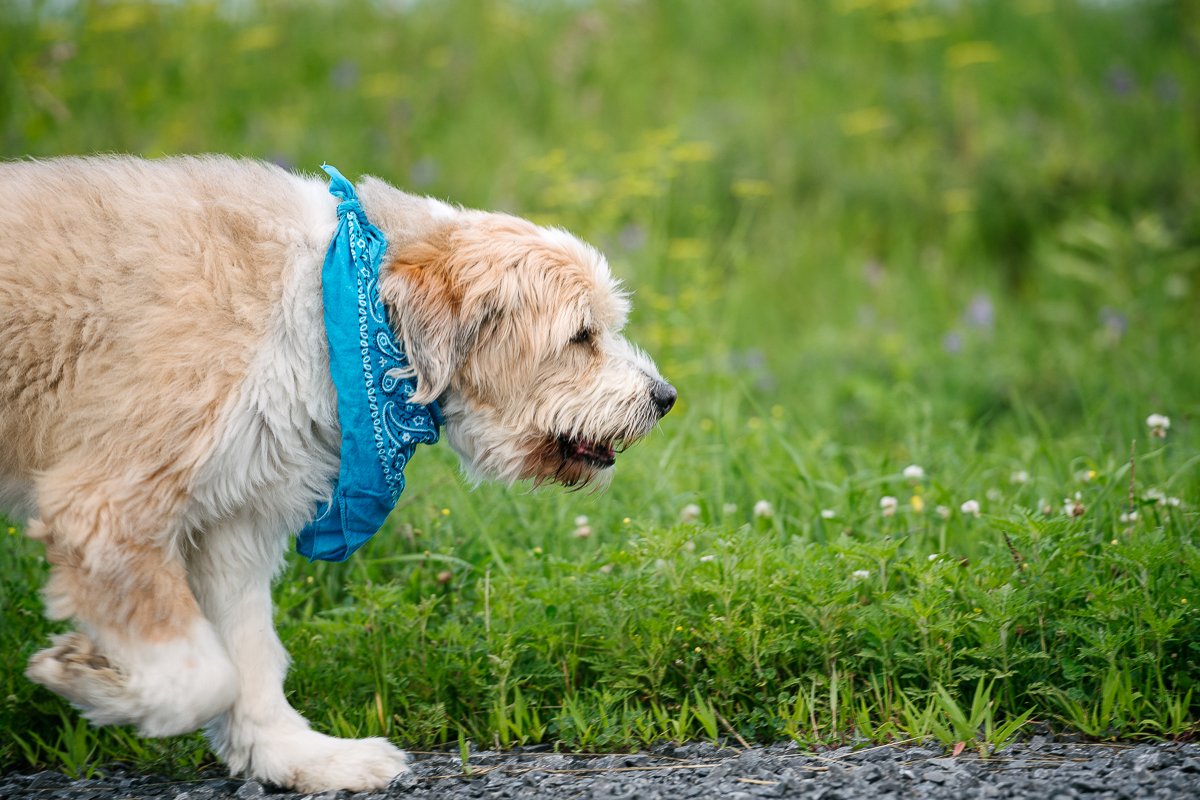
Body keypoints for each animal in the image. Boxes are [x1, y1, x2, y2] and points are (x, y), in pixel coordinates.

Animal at [0, 153, 676, 791]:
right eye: (580, 336)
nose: (665, 398)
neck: (335, 302)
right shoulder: (106, 505)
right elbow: (203, 676)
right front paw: (90, 677)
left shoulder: (232, 525)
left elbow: (247, 658)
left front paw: (297, 757)